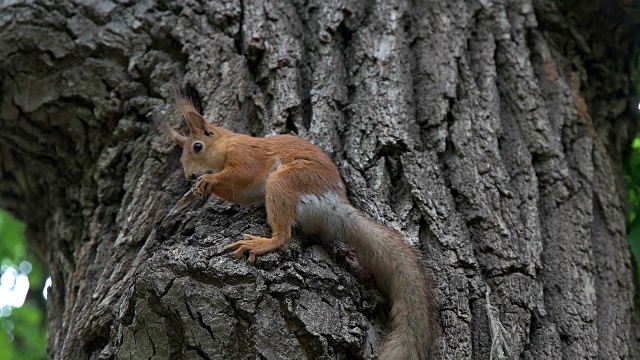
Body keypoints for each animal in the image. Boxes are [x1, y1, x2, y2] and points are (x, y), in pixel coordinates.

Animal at [152, 90, 440, 360]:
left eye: (197, 146)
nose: (189, 175)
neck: (228, 142)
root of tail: (336, 207)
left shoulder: (246, 155)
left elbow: (244, 172)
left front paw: (208, 180)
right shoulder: (244, 190)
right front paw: (202, 187)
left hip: (286, 181)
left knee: (284, 235)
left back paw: (263, 243)